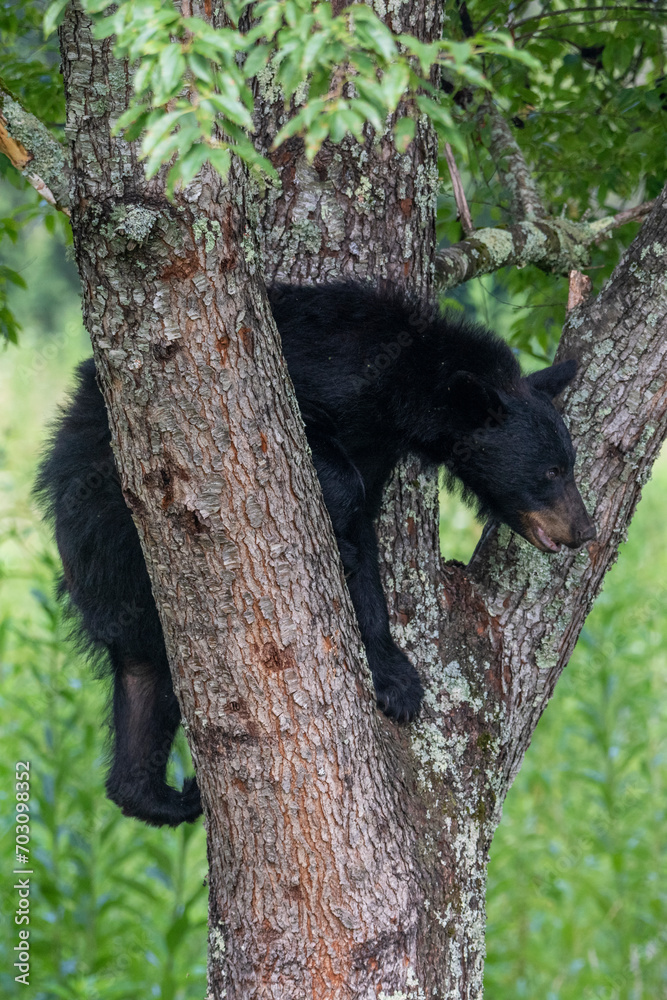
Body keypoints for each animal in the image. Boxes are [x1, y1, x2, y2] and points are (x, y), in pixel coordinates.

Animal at [35, 281, 595, 827]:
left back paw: (160, 794)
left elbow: (368, 552)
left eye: (568, 463)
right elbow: (331, 473)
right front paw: (343, 542)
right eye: (551, 471)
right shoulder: (305, 382)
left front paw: (396, 680)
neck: (398, 390)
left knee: (144, 677)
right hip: (115, 504)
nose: (587, 530)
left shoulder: (378, 450)